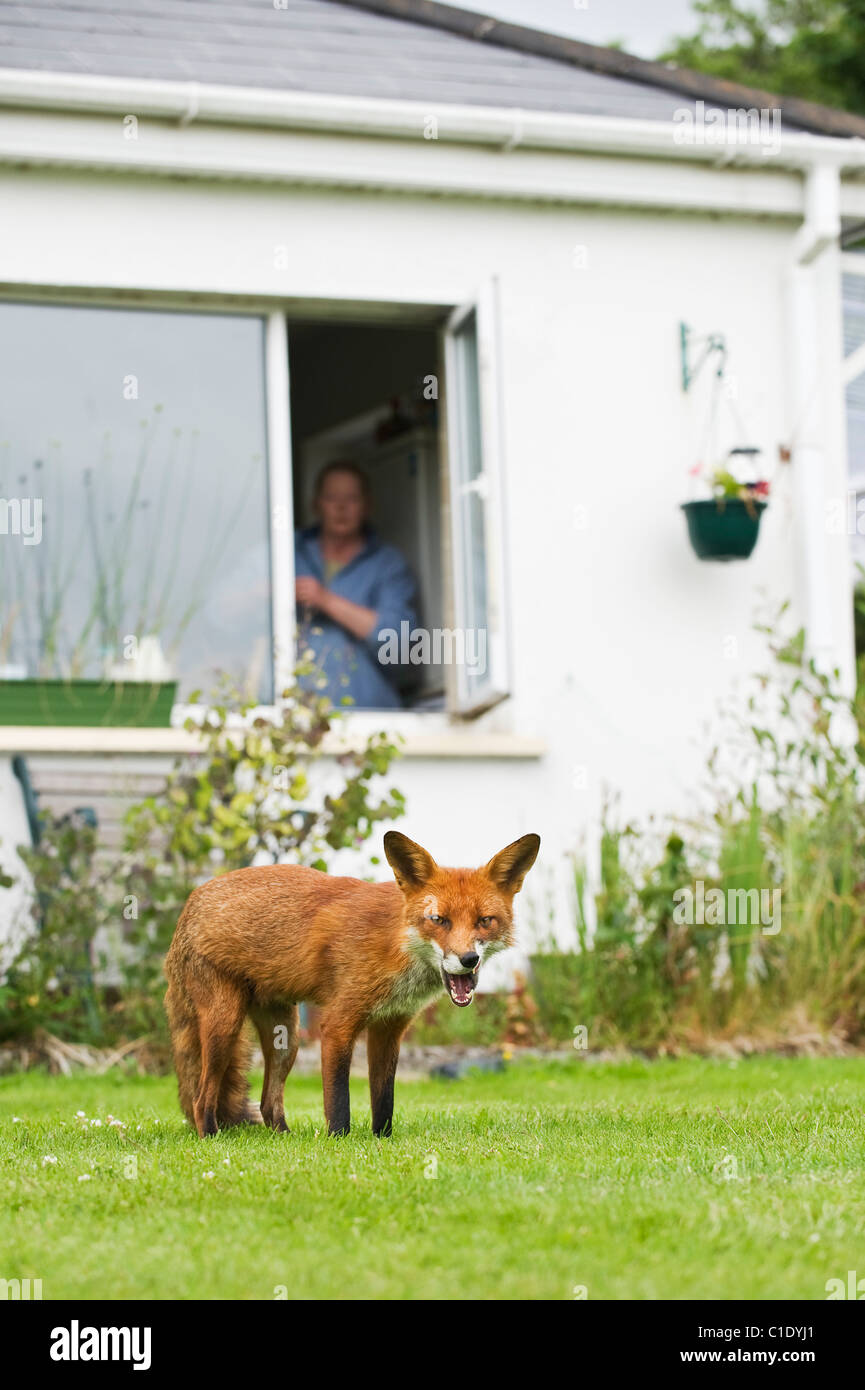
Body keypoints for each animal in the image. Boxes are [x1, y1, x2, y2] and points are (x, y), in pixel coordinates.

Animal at [163, 828, 539, 1134]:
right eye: (438, 920)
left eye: (484, 921)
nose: (468, 959)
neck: (397, 946)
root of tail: (191, 902)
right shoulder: (337, 1023)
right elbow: (338, 1103)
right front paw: (339, 1143)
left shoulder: (390, 1027)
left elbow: (383, 1100)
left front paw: (381, 1140)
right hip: (224, 1027)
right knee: (201, 1098)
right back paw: (212, 1137)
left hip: (286, 1038)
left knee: (268, 1104)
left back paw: (284, 1139)